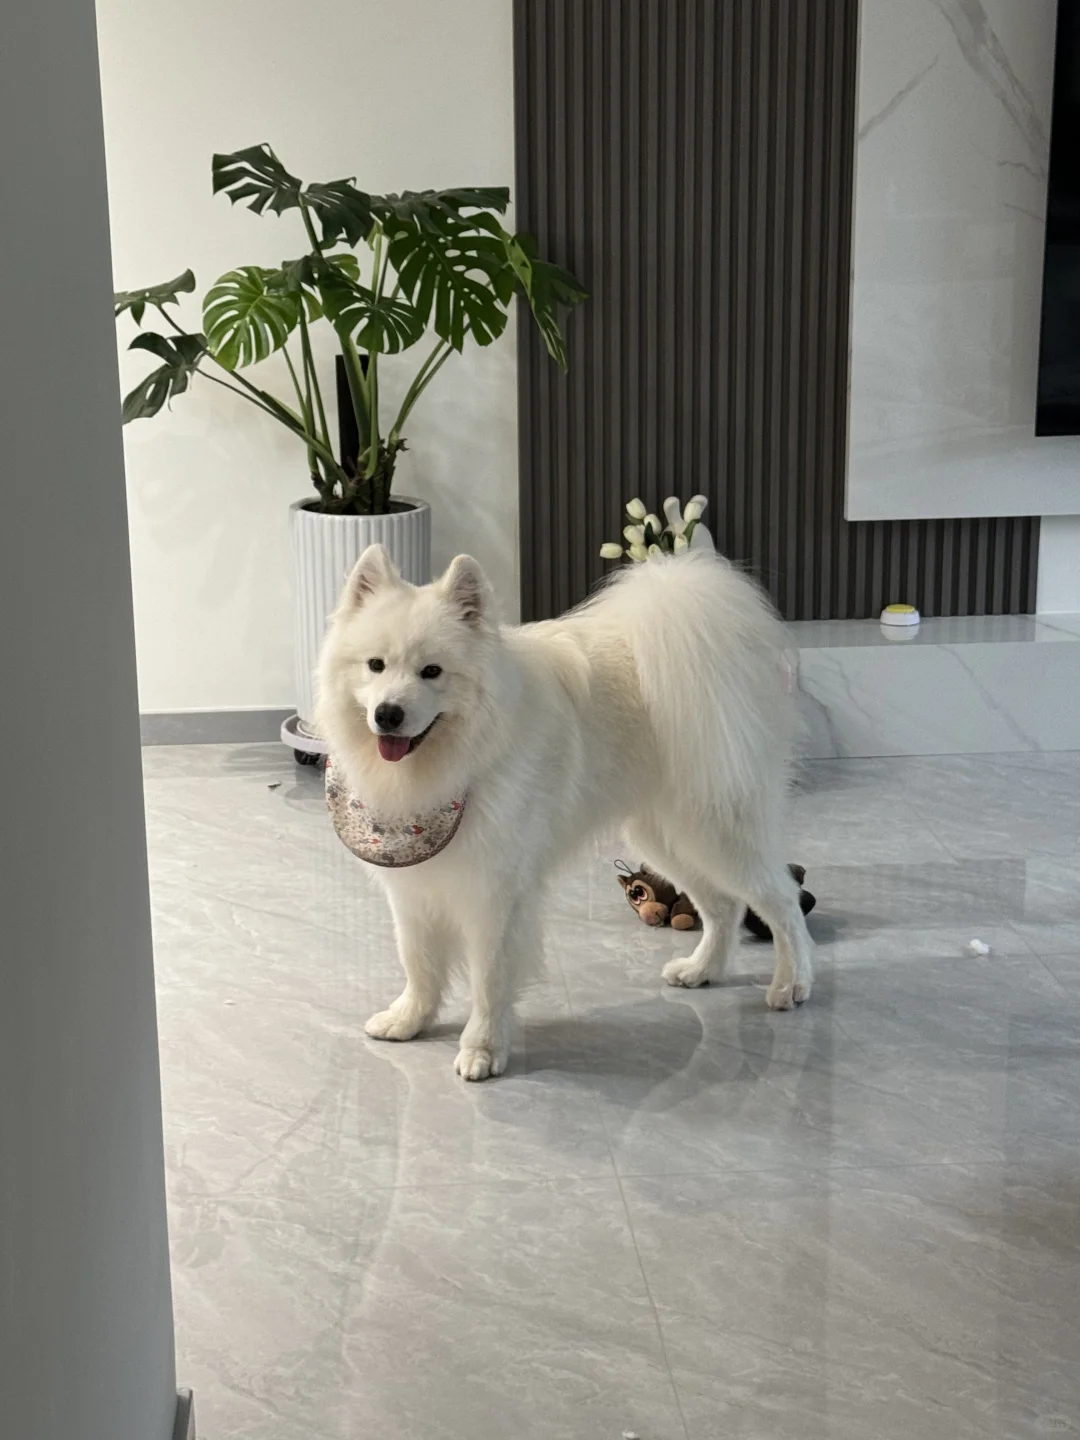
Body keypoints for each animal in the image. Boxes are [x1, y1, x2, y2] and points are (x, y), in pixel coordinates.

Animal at [316, 543, 813, 1080]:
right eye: (375, 665)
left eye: (432, 671)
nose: (387, 714)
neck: (457, 759)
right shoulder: (413, 886)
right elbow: (418, 962)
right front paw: (409, 1020)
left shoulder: (496, 893)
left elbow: (489, 979)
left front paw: (482, 1049)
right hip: (666, 838)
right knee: (723, 906)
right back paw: (701, 970)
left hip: (718, 831)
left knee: (781, 901)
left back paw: (792, 984)